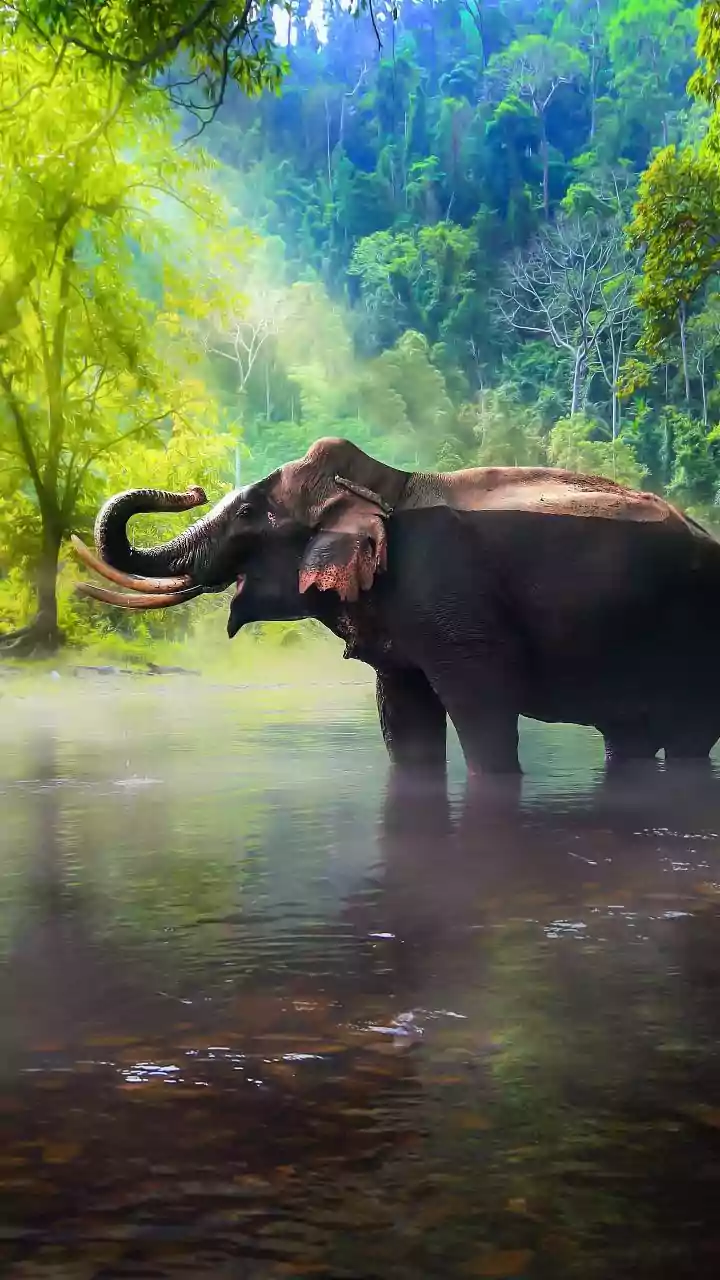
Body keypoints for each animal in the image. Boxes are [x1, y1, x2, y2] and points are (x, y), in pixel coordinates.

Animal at [71, 437, 720, 776]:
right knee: (630, 739)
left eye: (251, 513)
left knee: (689, 740)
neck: (390, 485)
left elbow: (483, 712)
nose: (192, 489)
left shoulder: (456, 607)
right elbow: (404, 718)